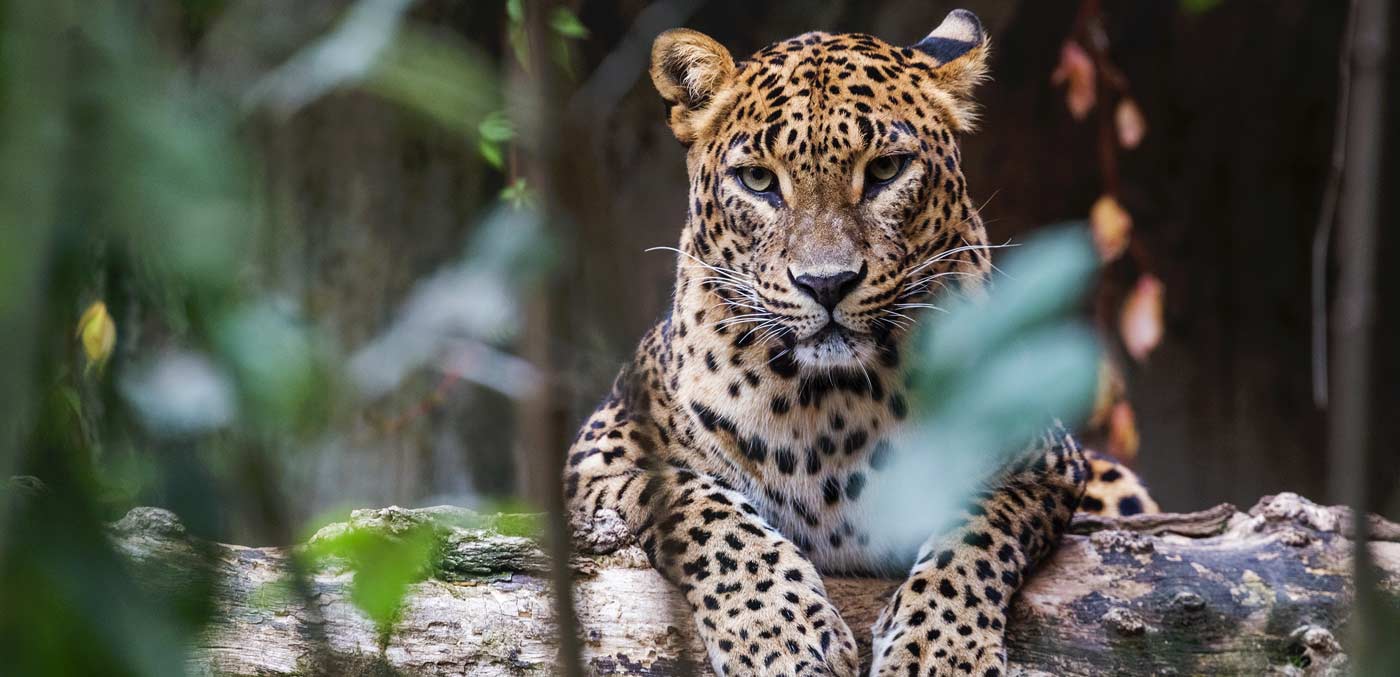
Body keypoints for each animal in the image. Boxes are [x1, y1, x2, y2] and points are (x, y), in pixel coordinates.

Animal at [565, 10, 1156, 675]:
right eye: (758, 180)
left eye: (885, 171)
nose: (827, 283)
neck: (831, 405)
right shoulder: (602, 451)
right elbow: (703, 510)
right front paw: (779, 635)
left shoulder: (1041, 458)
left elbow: (975, 529)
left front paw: (938, 650)